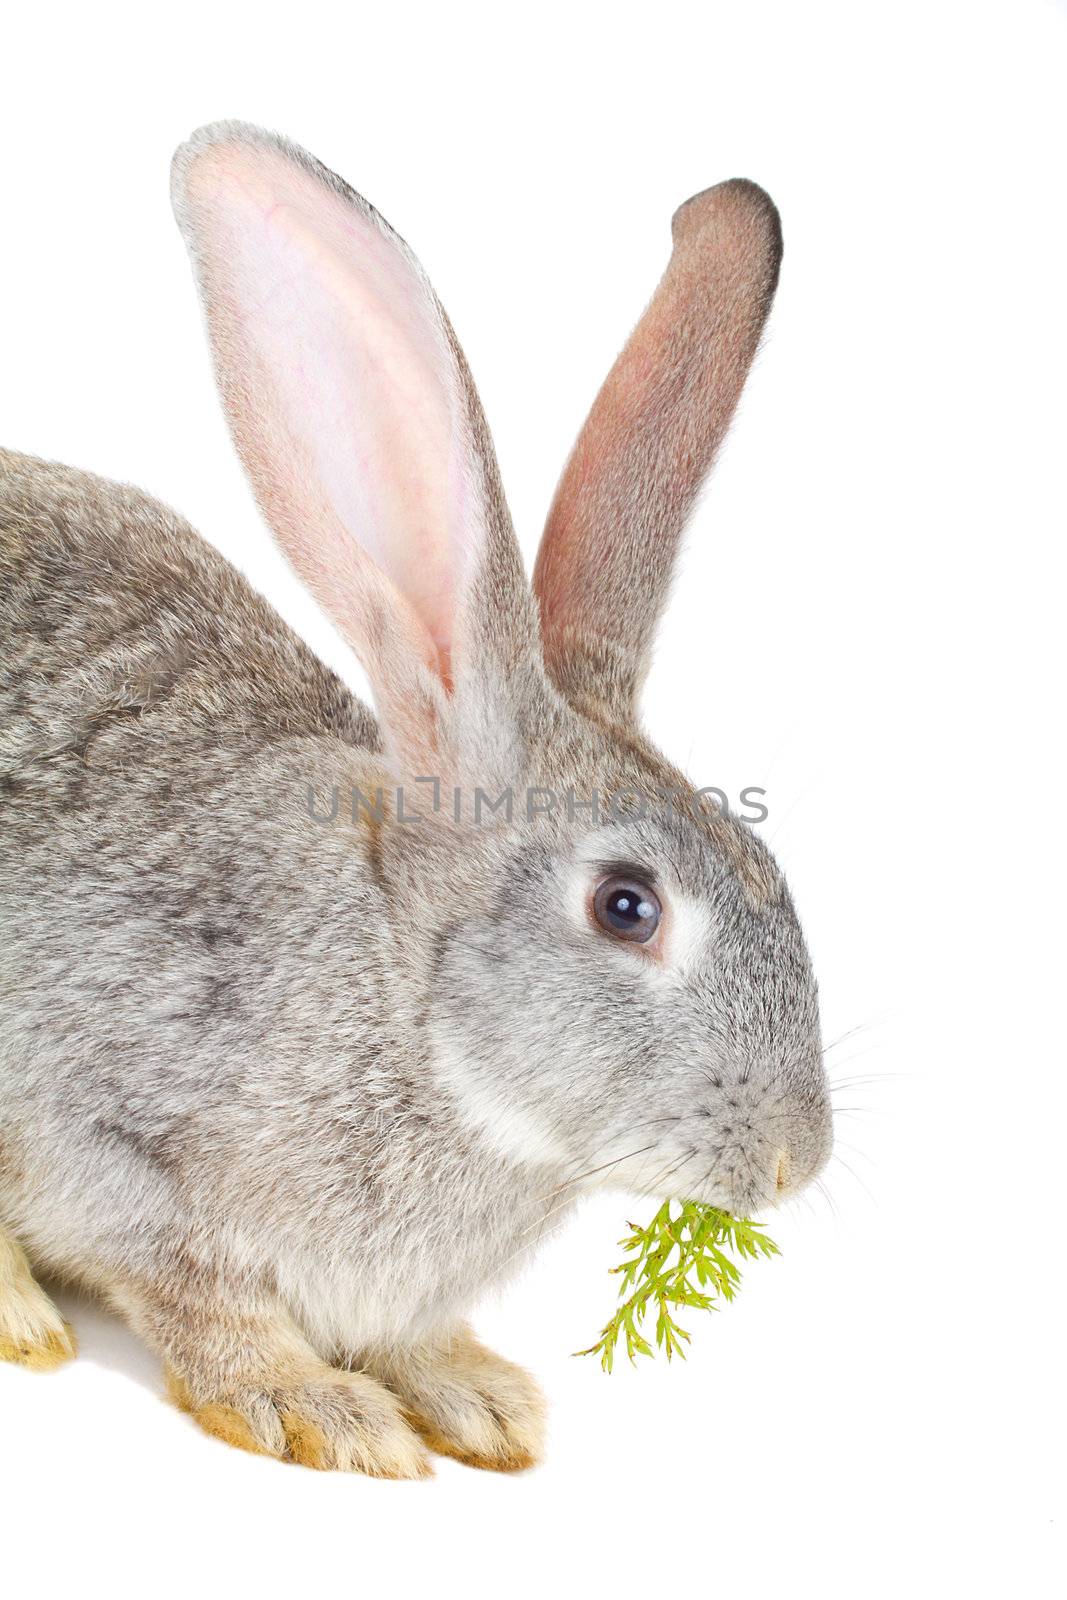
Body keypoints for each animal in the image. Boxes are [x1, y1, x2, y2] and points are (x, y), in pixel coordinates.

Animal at [0, 121, 831, 1472]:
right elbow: (196, 1297)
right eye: (625, 906)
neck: (408, 1006)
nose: (791, 1160)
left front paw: (474, 1394)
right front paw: (315, 1407)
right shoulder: (107, 1131)